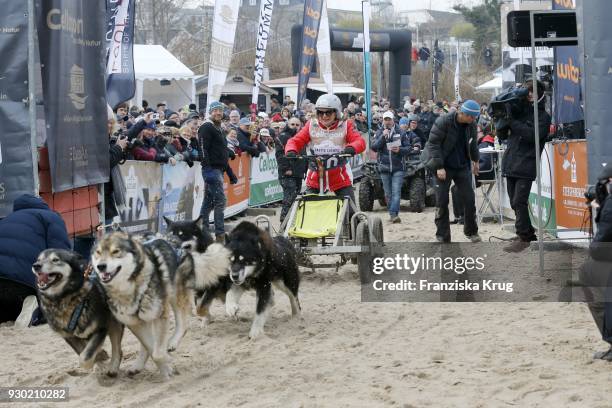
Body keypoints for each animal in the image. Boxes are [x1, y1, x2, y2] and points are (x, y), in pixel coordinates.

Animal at [34, 250, 125, 378]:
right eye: (38, 259)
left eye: (55, 259)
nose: (36, 266)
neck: (62, 299)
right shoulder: (69, 337)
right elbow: (84, 351)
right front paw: (100, 360)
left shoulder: (101, 329)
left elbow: (85, 357)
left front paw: (99, 365)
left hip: (114, 322)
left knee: (118, 349)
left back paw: (113, 368)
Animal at [91, 231, 190, 378]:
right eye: (98, 252)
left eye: (116, 251)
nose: (101, 266)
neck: (129, 289)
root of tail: (169, 234)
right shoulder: (133, 323)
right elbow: (152, 349)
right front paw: (166, 369)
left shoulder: (159, 315)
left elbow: (157, 352)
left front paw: (167, 363)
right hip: (143, 317)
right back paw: (137, 366)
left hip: (173, 294)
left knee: (182, 321)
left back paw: (172, 342)